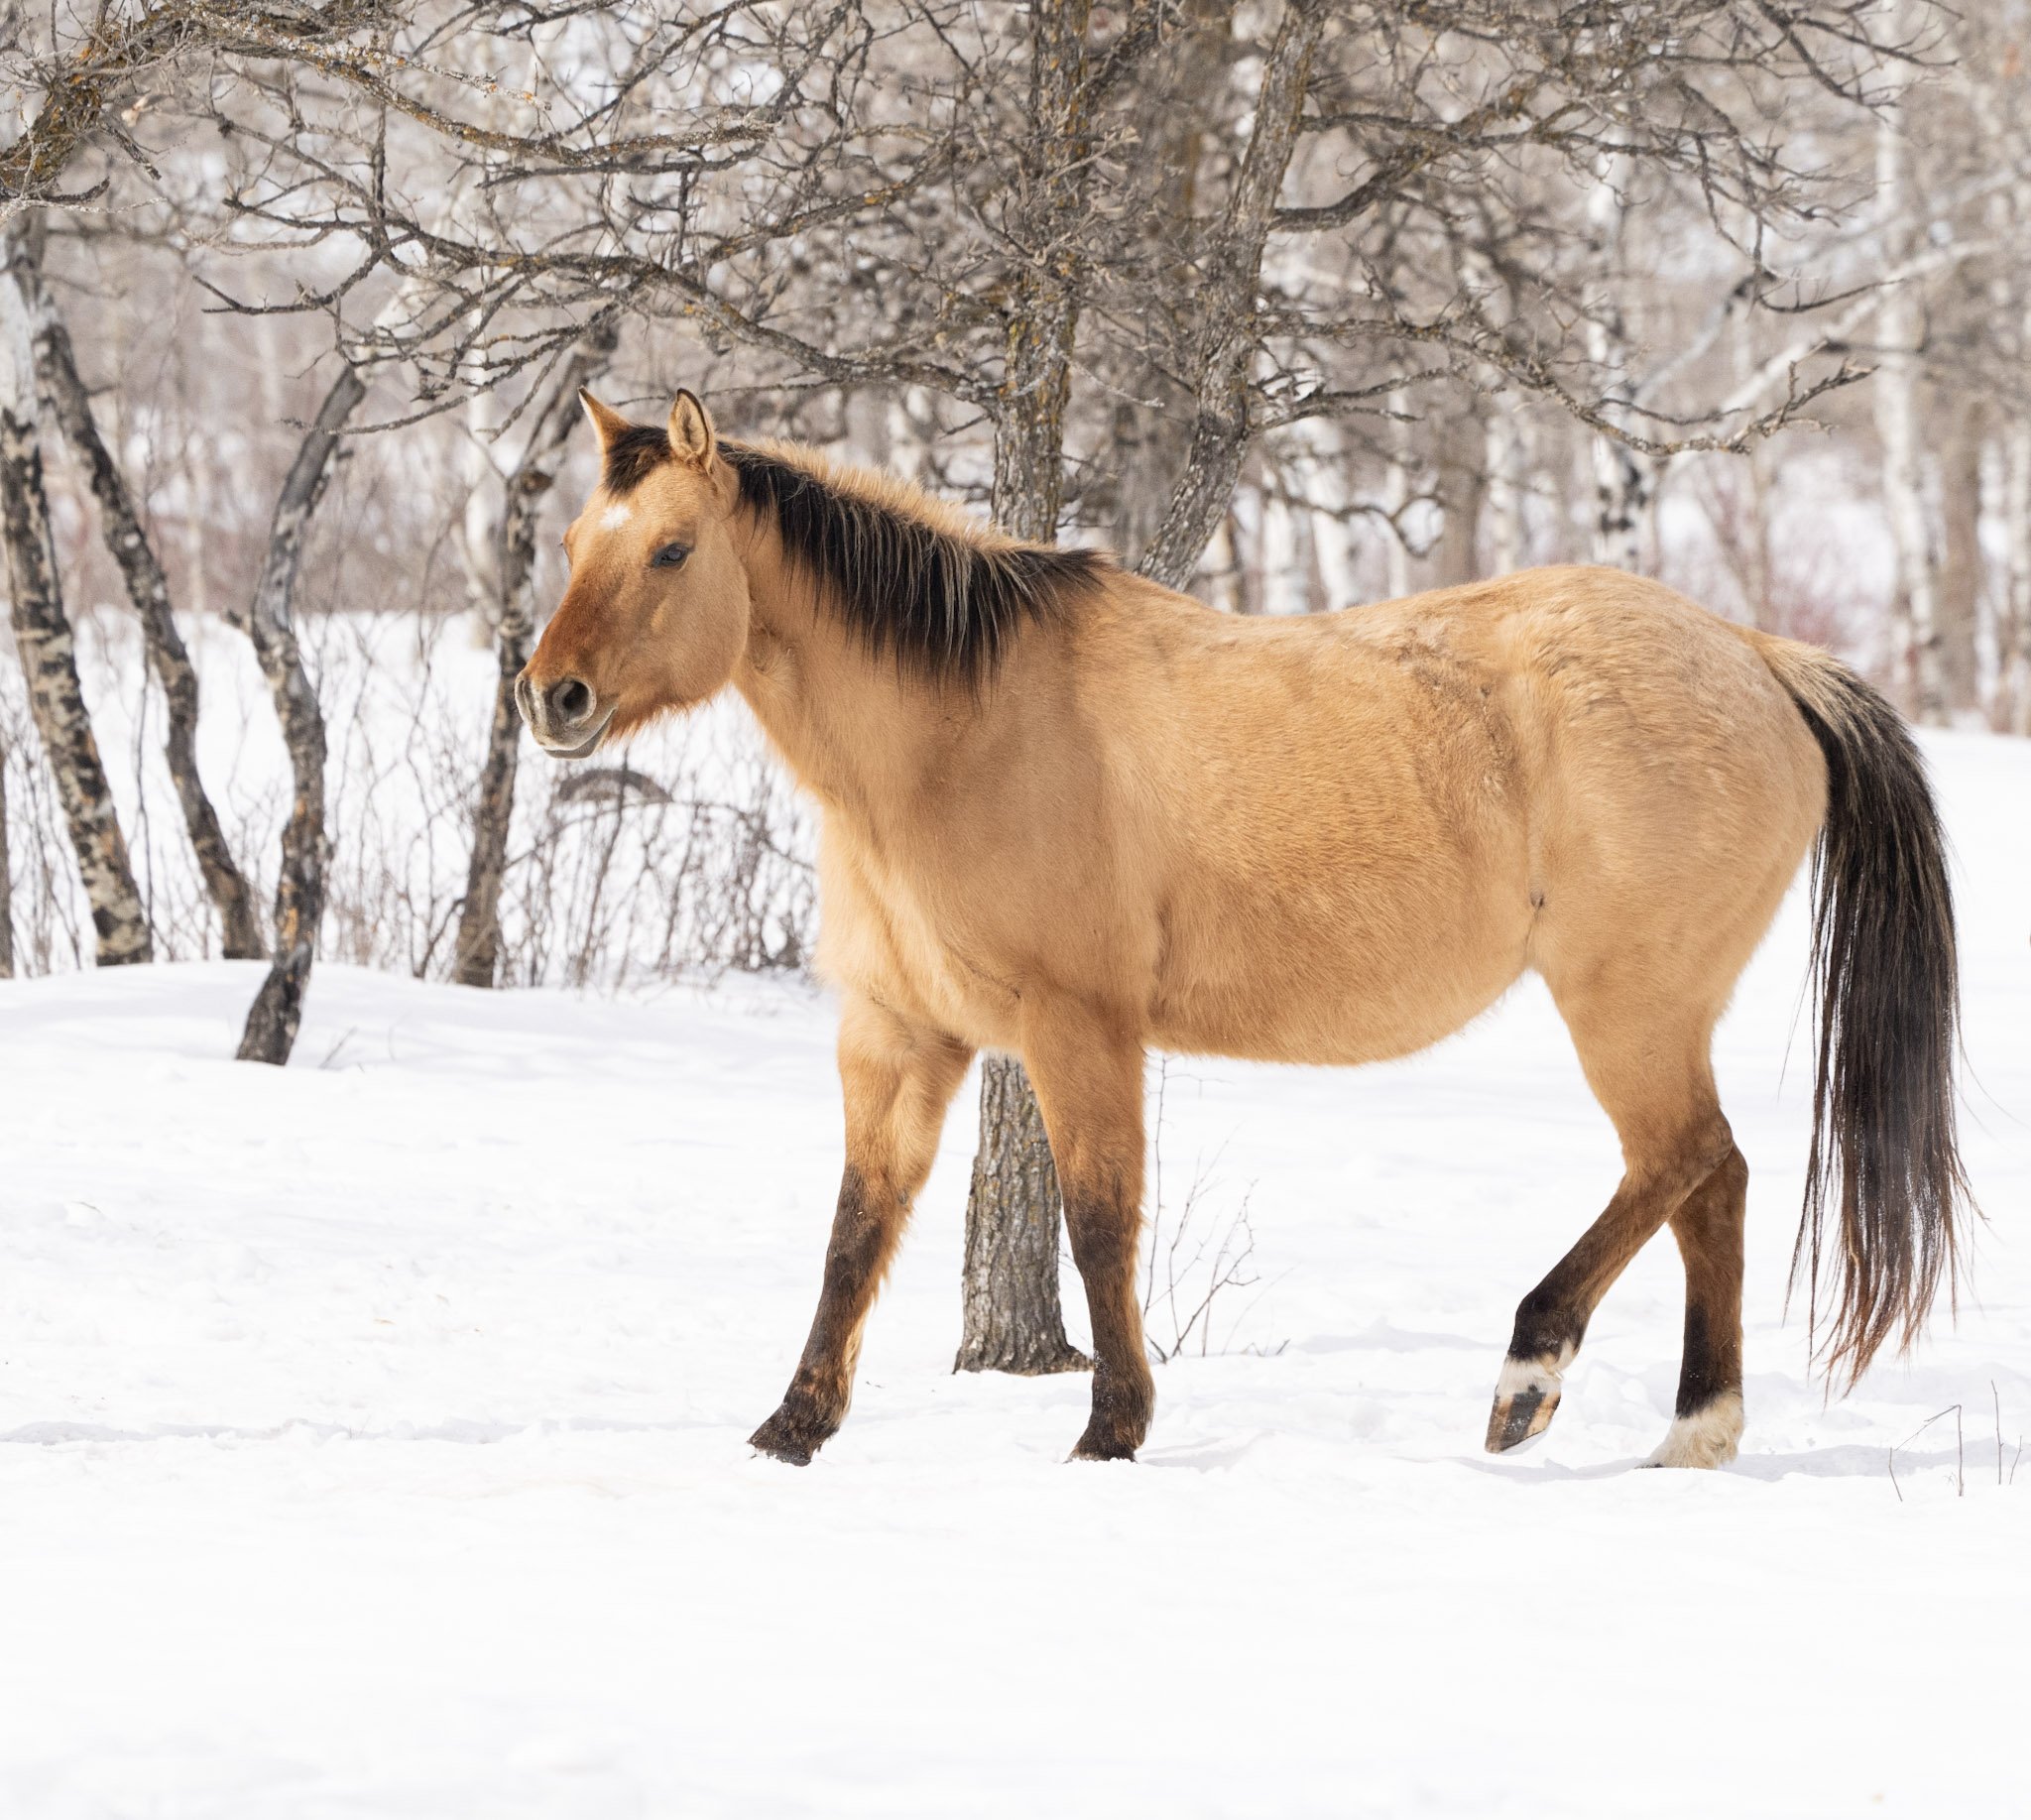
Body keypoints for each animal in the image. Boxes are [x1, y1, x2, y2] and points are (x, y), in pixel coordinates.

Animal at [518, 388, 1967, 1470]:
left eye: (671, 550)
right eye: (578, 538)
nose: (551, 698)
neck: (957, 737)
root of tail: (1757, 655)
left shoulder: (1079, 1023)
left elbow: (1100, 1217)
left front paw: (1111, 1426)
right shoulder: (898, 1032)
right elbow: (855, 1228)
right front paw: (792, 1427)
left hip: (1628, 1004)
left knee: (1683, 1161)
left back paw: (1530, 1372)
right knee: (1708, 1184)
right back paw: (1691, 1431)